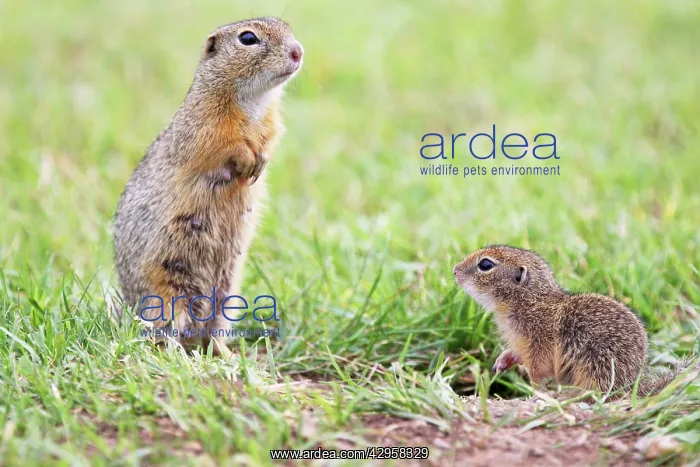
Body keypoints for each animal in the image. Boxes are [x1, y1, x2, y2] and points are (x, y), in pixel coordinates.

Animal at [113, 18, 303, 356]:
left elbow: (269, 140)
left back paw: (226, 354)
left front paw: (261, 161)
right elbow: (224, 145)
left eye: (287, 26)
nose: (298, 52)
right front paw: (248, 159)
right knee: (168, 330)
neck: (254, 101)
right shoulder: (206, 126)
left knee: (211, 333)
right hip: (168, 289)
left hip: (226, 293)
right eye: (248, 38)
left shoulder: (271, 123)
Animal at [453, 244, 686, 398]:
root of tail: (633, 384)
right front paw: (503, 361)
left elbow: (539, 370)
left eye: (485, 264)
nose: (455, 270)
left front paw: (537, 392)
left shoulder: (539, 343)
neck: (528, 302)